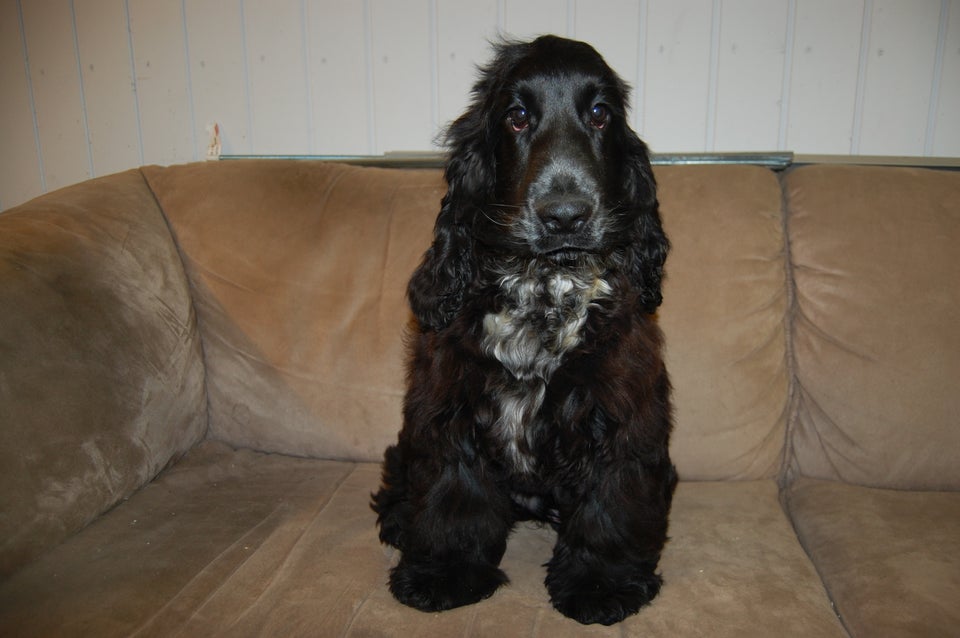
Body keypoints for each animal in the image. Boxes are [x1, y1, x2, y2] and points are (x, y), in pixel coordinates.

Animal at [372, 33, 680, 624]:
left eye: (600, 113)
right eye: (516, 118)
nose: (566, 215)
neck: (545, 288)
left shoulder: (621, 414)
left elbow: (611, 503)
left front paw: (601, 585)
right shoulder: (450, 406)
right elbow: (453, 495)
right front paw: (444, 573)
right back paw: (400, 520)